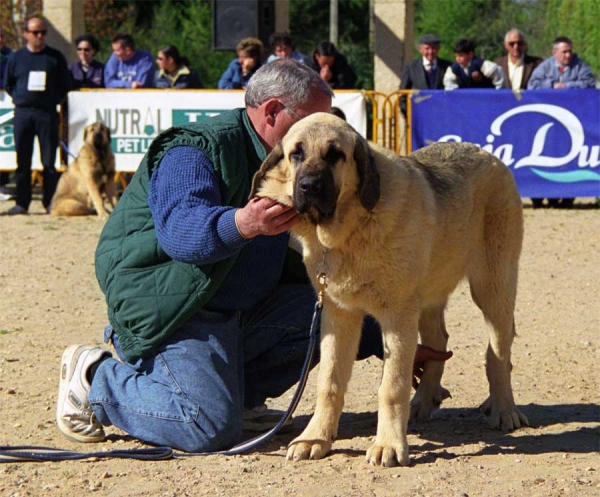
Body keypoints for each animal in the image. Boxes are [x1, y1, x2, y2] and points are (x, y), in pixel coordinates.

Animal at [251, 111, 528, 464]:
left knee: (498, 353)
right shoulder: (338, 316)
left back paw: (504, 408)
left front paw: (388, 445)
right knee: (439, 340)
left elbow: (391, 386)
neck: (349, 228)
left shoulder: (397, 316)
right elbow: (329, 381)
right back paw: (423, 402)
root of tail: (489, 155)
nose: (308, 186)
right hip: (428, 295)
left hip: (493, 287)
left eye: (335, 155)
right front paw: (316, 438)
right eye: (296, 153)